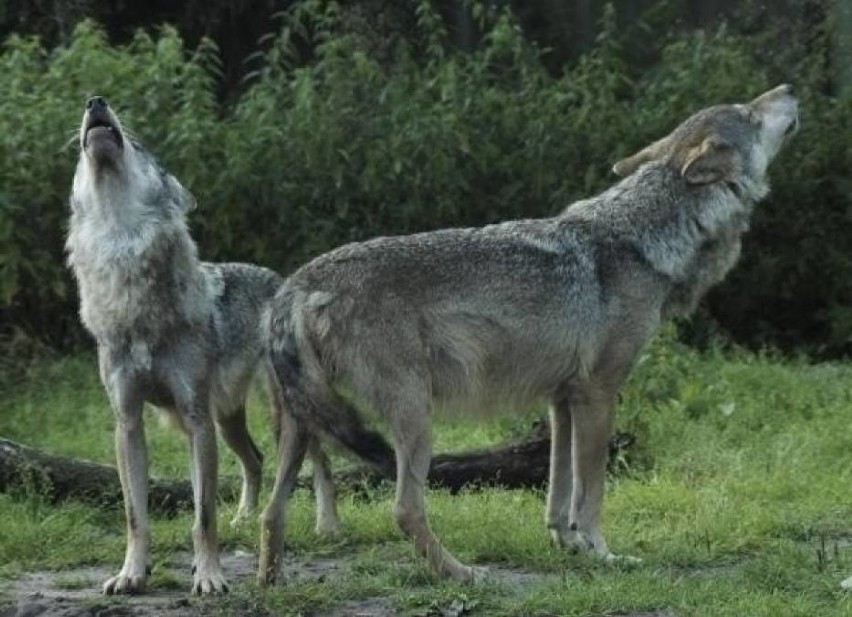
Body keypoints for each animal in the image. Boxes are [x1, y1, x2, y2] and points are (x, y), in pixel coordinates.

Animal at [67, 98, 340, 596]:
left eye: (137, 143)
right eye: (80, 157)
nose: (96, 101)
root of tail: (280, 280)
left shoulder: (196, 420)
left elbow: (203, 515)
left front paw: (210, 576)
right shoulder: (129, 423)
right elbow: (136, 516)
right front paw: (132, 573)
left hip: (275, 416)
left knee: (319, 462)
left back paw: (327, 526)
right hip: (227, 419)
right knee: (254, 461)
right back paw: (244, 518)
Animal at [258, 83, 800, 584]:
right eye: (750, 113)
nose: (789, 88)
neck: (643, 241)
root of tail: (296, 284)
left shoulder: (561, 399)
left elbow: (559, 492)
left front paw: (569, 545)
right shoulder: (599, 392)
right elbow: (592, 490)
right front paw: (604, 554)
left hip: (301, 427)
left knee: (271, 510)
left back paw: (270, 583)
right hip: (414, 418)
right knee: (405, 509)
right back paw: (462, 573)